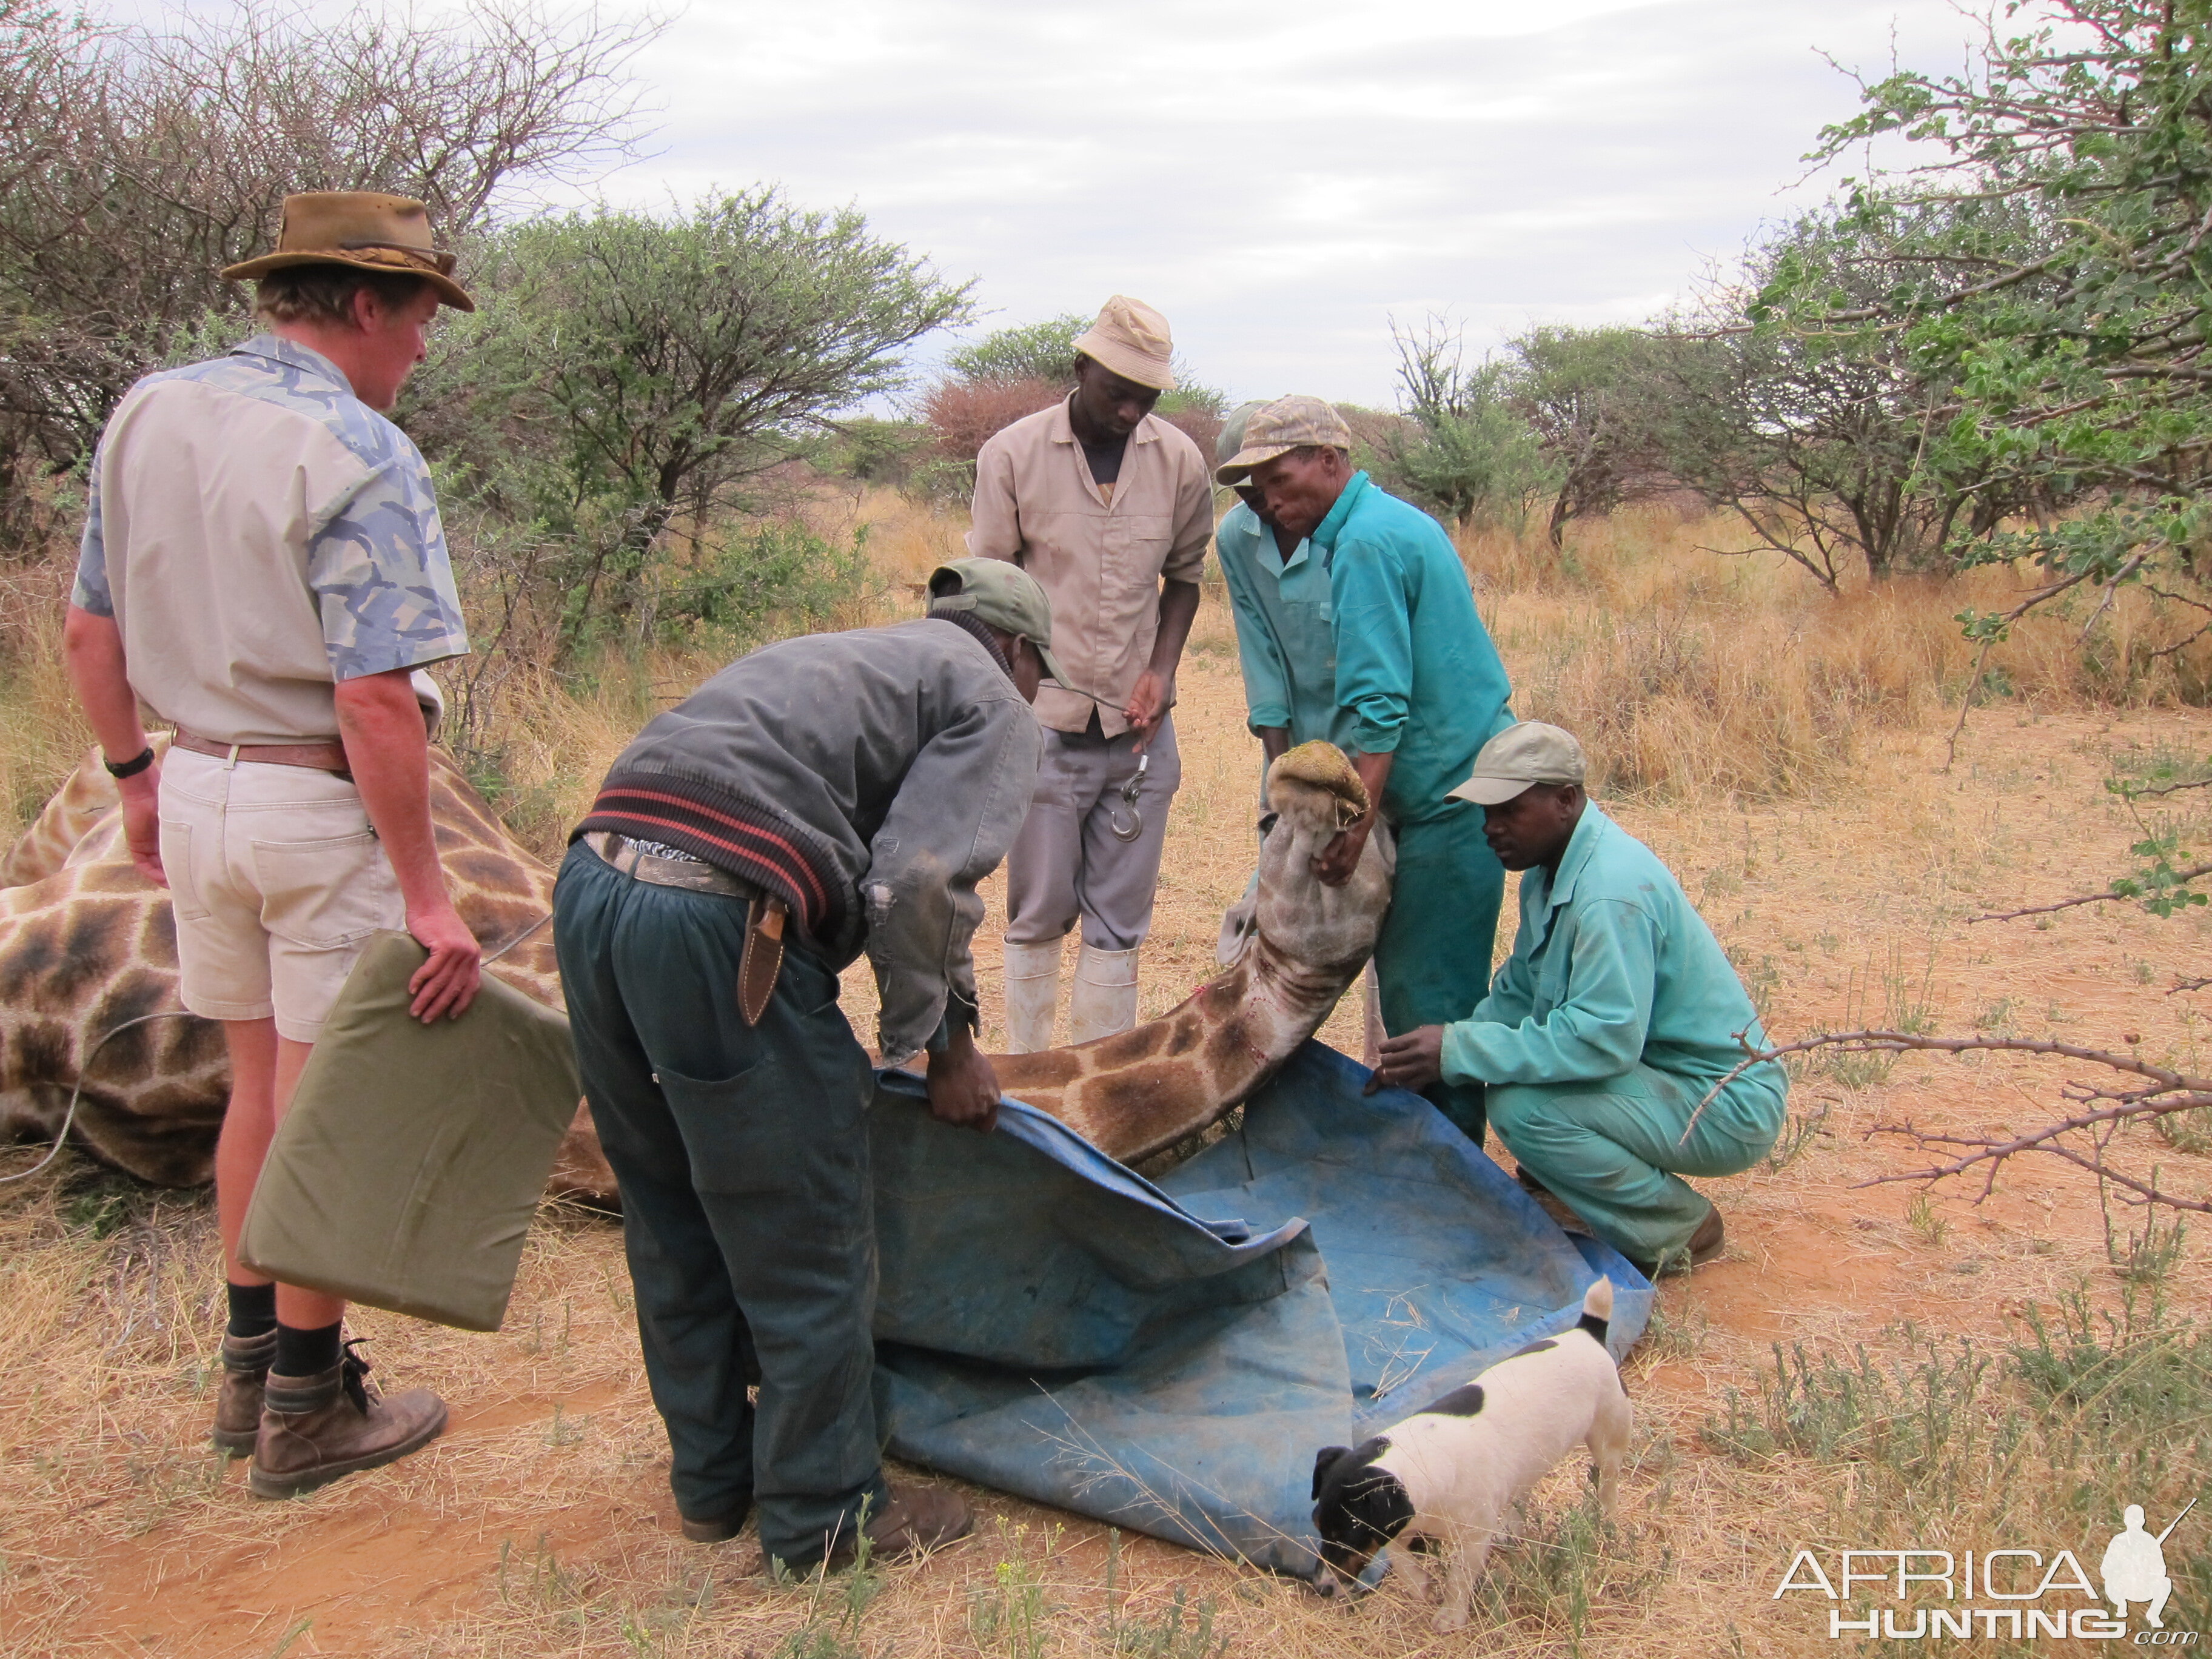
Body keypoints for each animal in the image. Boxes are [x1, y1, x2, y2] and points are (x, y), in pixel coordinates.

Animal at [1301, 1282, 1637, 1627]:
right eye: (1317, 1524)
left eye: (1347, 1535)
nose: (1321, 1589)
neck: (1423, 1459)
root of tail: (1587, 1332)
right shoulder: (1402, 1524)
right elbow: (1399, 1556)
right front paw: (1419, 1584)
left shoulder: (1472, 1539)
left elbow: (1459, 1579)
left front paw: (1451, 1616)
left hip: (1609, 1438)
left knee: (1609, 1483)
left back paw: (1605, 1521)